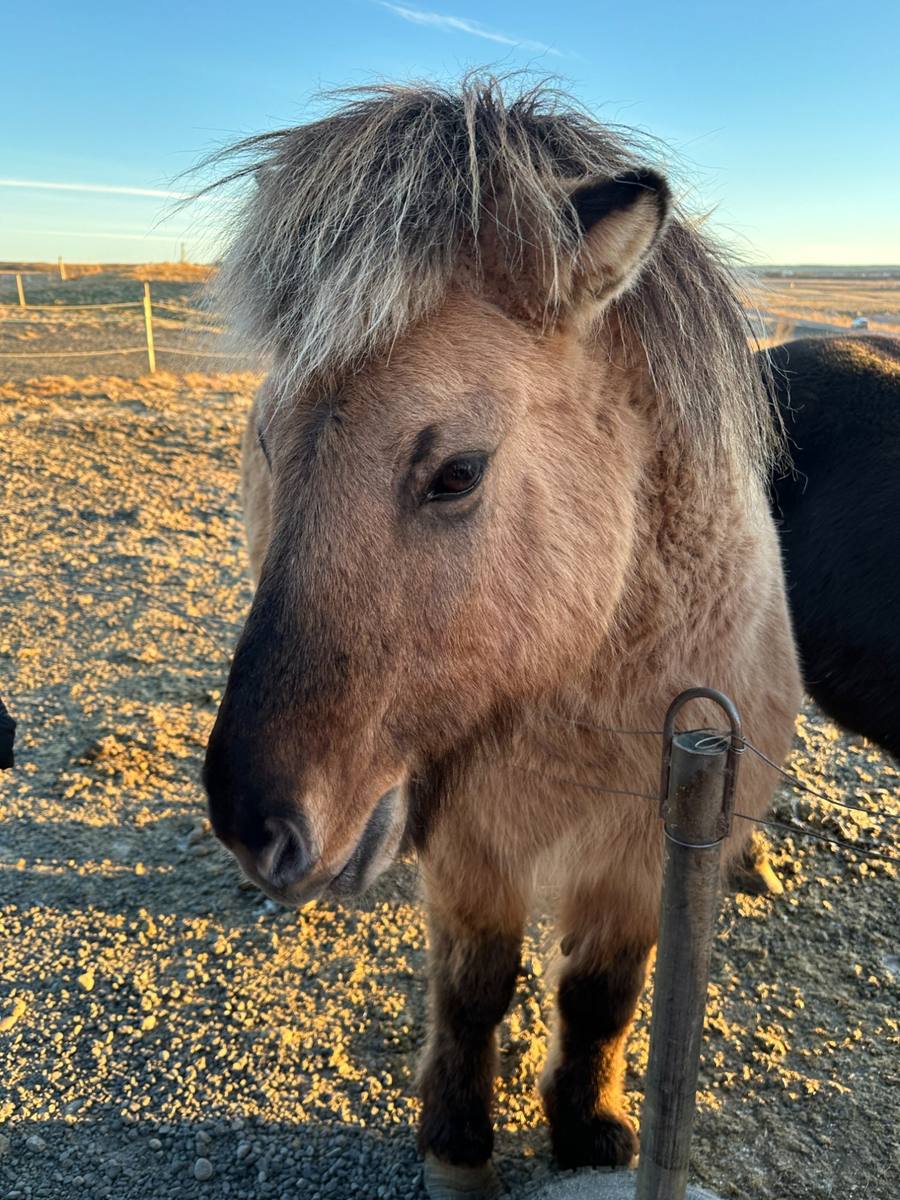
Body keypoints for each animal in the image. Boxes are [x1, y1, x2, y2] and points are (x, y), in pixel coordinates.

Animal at [201, 78, 801, 1196]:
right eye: (263, 439)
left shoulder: (647, 851)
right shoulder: (473, 844)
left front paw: (589, 1127)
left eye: (459, 472)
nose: (255, 824)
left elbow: (602, 995)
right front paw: (458, 1140)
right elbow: (477, 986)